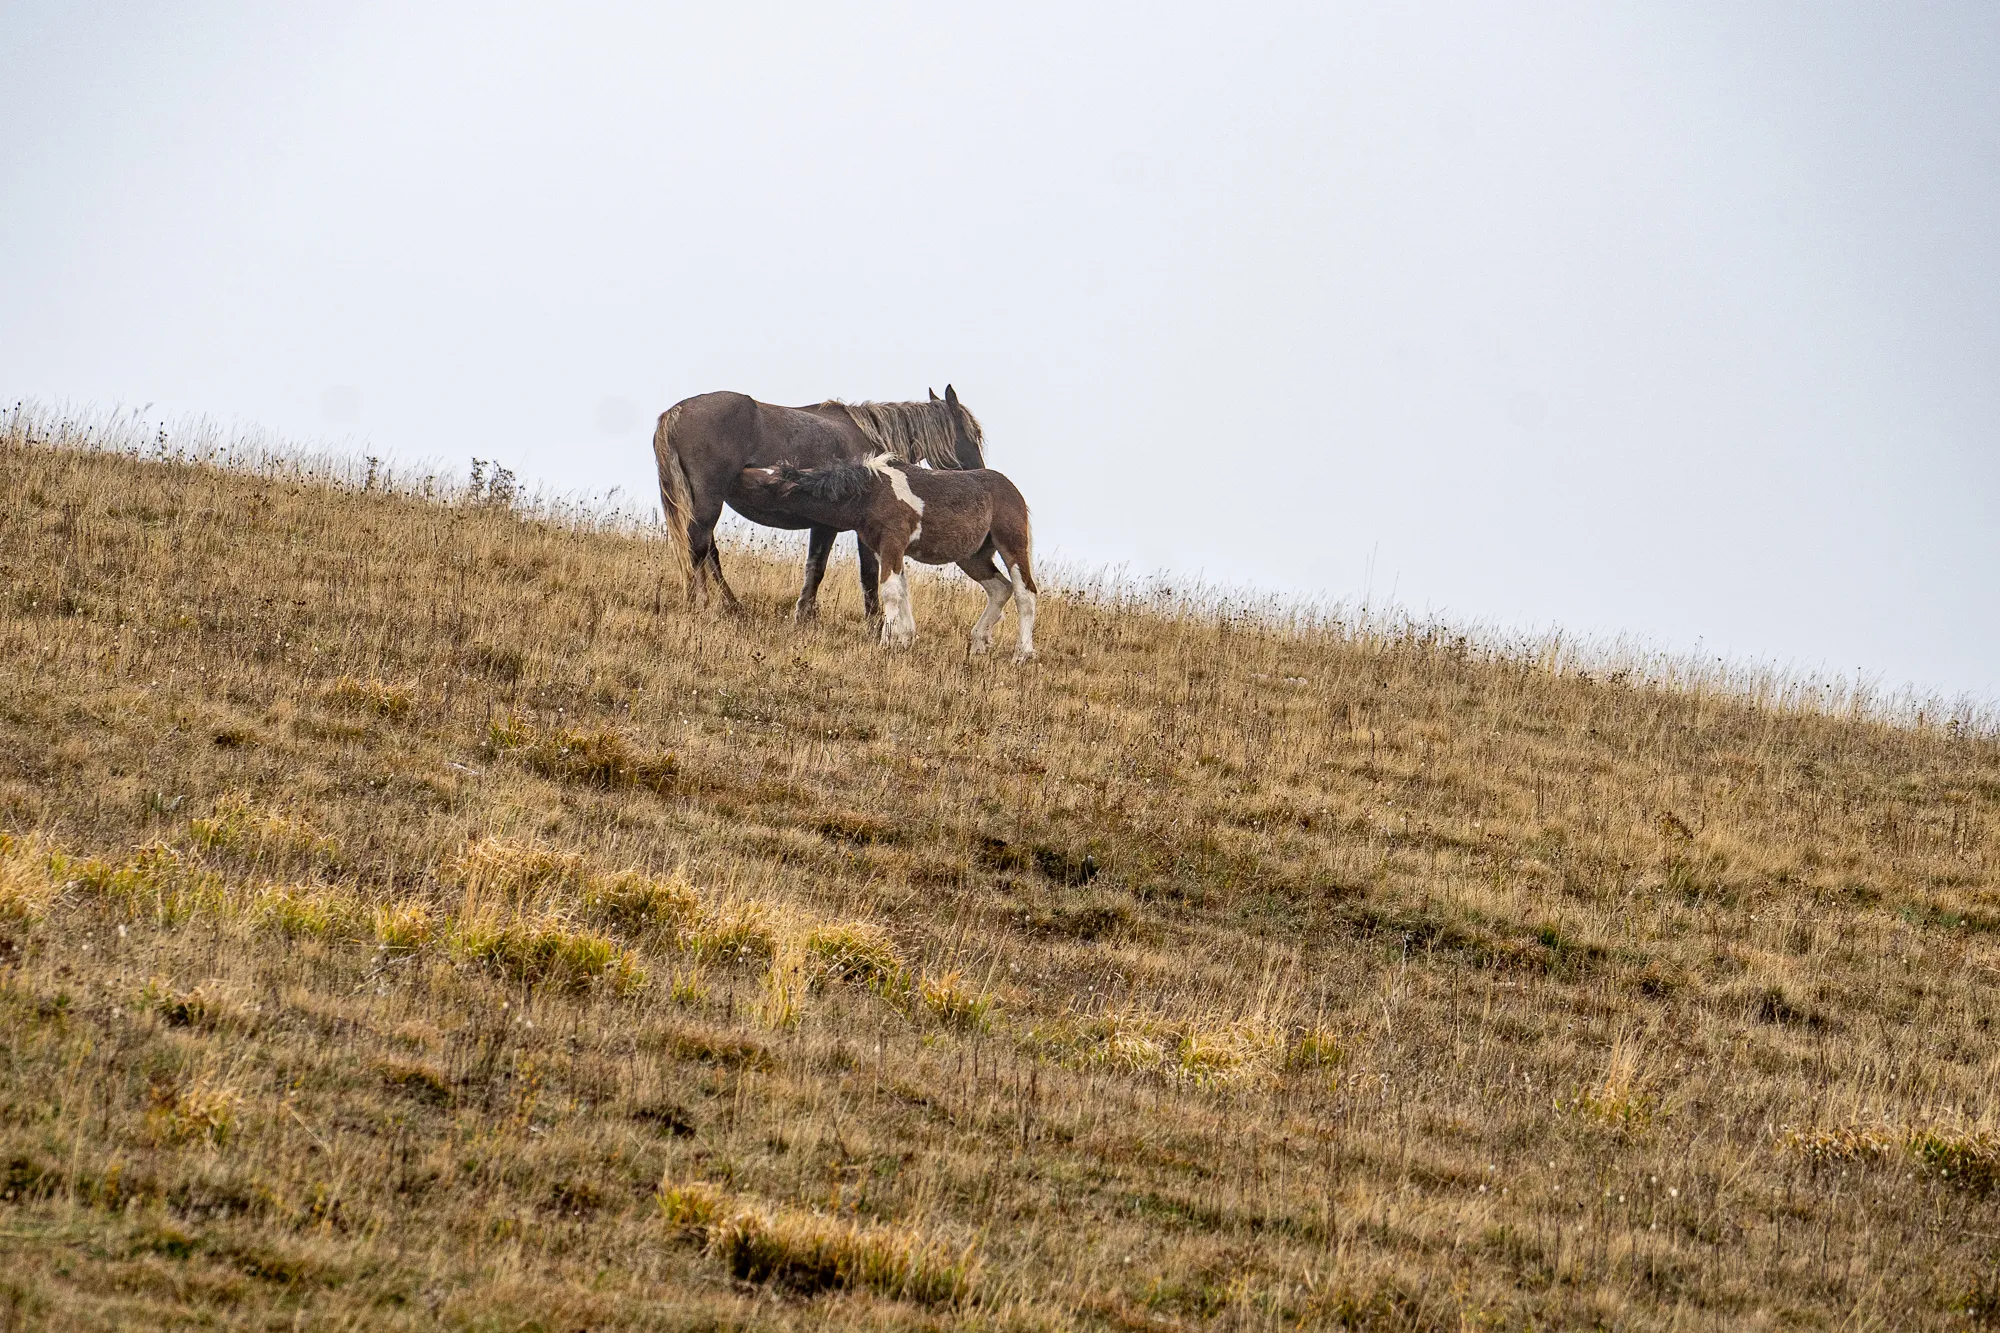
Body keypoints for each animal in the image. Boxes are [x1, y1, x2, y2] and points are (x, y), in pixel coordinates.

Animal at [651, 387, 985, 624]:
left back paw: (730, 605)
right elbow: (866, 573)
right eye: (974, 435)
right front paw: (873, 621)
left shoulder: (823, 526)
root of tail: (676, 412)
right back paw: (703, 603)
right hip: (708, 502)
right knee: (699, 547)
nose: (980, 473)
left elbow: (815, 568)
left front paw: (805, 614)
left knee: (708, 550)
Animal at [734, 455, 1039, 660]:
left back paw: (1022, 653)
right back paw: (978, 643)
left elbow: (890, 592)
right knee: (1000, 588)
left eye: (766, 482)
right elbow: (901, 591)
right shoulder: (884, 548)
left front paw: (886, 642)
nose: (740, 472)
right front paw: (904, 639)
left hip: (1010, 543)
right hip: (971, 556)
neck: (869, 494)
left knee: (1025, 592)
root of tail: (1015, 492)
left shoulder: (893, 541)